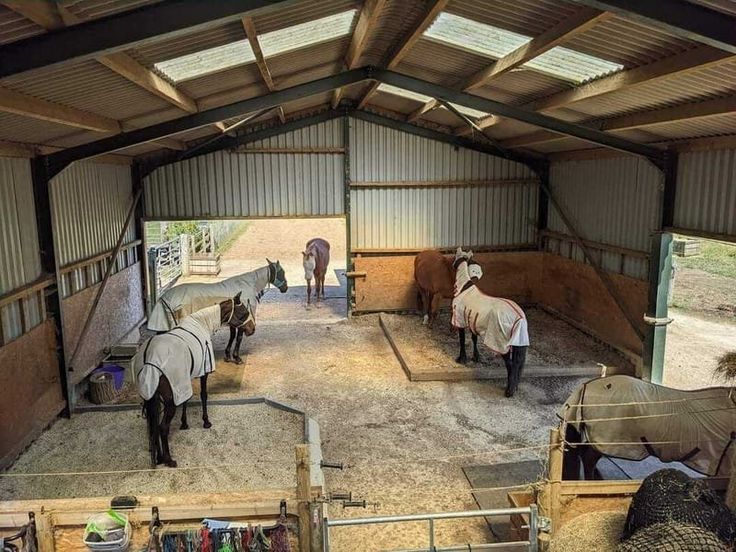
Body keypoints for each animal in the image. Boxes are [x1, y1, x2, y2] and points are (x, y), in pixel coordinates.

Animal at [136, 294, 256, 466]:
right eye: (243, 313)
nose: (252, 329)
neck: (202, 323)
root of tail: (149, 359)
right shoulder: (203, 372)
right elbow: (203, 395)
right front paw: (206, 422)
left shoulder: (186, 379)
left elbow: (187, 400)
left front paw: (184, 423)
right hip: (169, 400)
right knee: (162, 427)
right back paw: (168, 459)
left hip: (151, 395)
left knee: (152, 426)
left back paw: (158, 458)